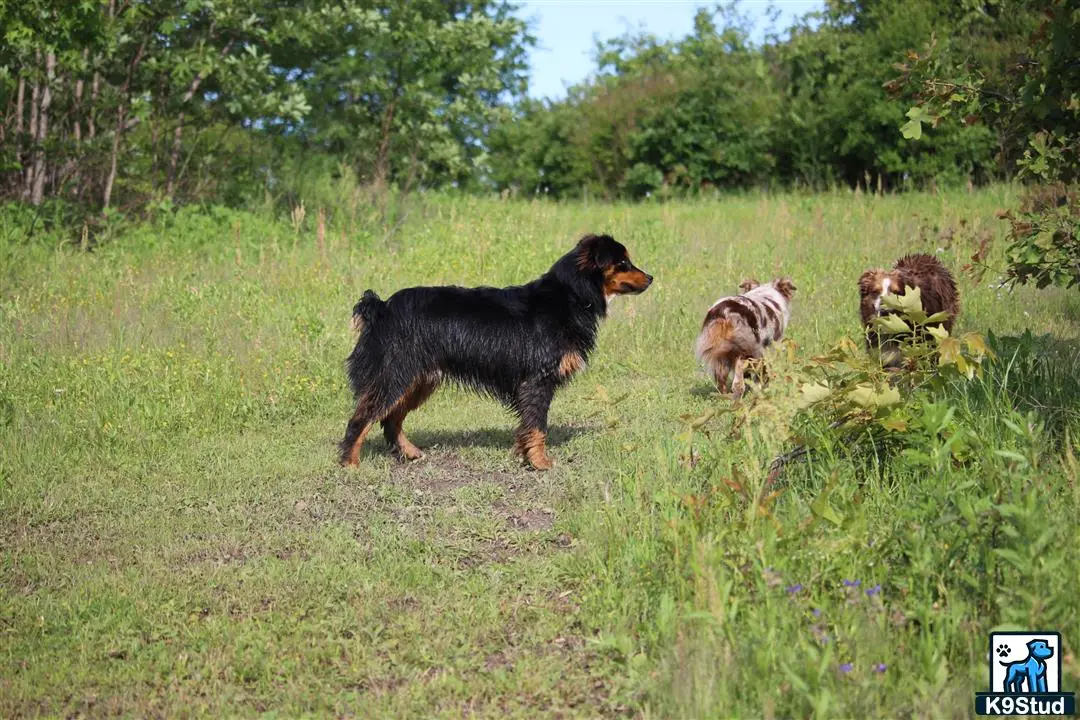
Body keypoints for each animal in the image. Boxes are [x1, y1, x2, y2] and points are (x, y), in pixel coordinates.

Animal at [341, 236, 652, 470]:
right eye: (622, 263)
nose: (650, 277)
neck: (572, 296)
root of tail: (382, 307)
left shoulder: (528, 386)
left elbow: (527, 425)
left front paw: (524, 455)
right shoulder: (538, 380)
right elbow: (538, 426)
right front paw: (540, 463)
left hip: (419, 379)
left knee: (391, 419)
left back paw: (408, 453)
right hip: (396, 374)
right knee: (362, 417)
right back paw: (350, 463)